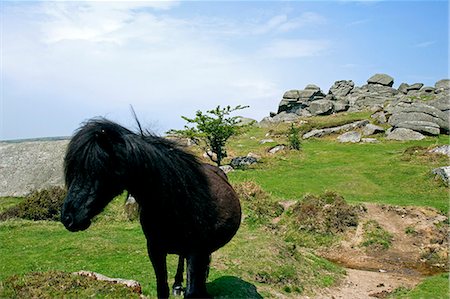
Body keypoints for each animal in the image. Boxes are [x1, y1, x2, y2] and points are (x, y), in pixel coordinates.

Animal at [62, 118, 243, 298]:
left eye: (96, 170)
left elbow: (192, 289)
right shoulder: (155, 250)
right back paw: (178, 285)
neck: (175, 206)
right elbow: (162, 288)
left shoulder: (197, 252)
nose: (67, 217)